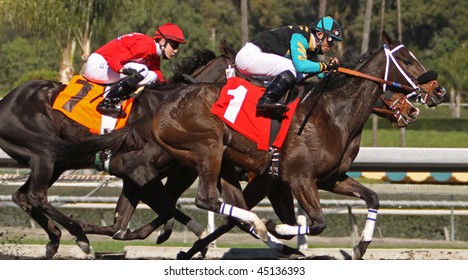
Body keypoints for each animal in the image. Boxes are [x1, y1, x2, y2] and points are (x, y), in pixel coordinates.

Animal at [150, 31, 446, 260]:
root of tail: (164, 109)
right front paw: (275, 229)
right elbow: (316, 223)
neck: (332, 114)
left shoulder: (327, 178)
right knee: (197, 199)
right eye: (407, 60)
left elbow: (371, 198)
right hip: (205, 153)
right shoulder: (294, 179)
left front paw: (360, 246)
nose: (438, 91)